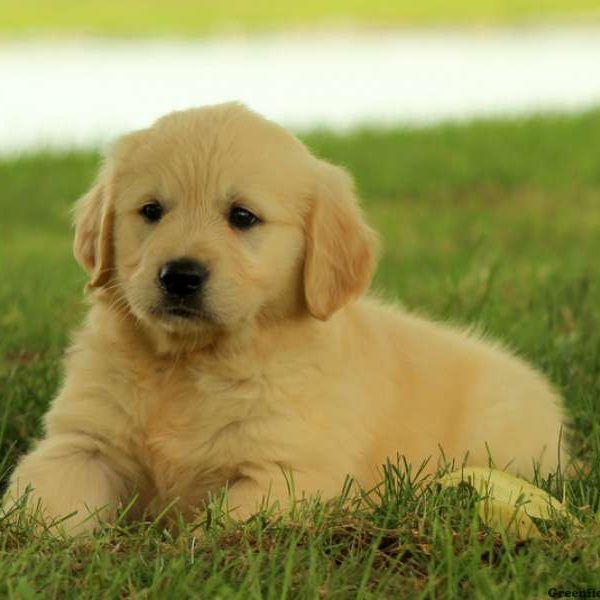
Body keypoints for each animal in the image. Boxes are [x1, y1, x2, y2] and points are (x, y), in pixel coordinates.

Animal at [3, 103, 568, 536]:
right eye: (151, 210)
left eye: (242, 217)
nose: (179, 275)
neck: (190, 365)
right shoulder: (82, 445)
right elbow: (45, 504)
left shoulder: (287, 475)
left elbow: (219, 527)